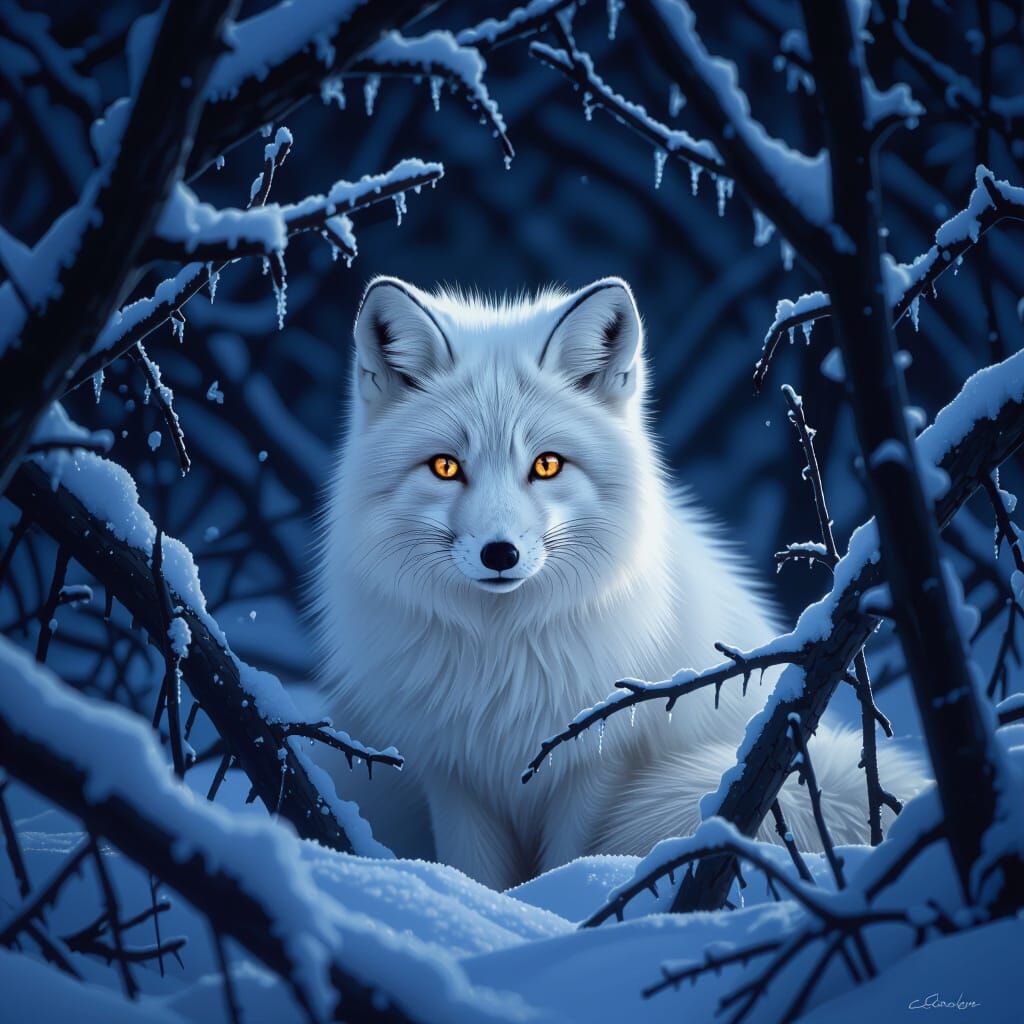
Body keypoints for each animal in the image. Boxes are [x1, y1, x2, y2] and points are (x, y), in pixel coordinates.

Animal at [312, 275, 925, 892]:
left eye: (547, 465)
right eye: (445, 467)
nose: (500, 553)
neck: (501, 657)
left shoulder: (595, 761)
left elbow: (567, 857)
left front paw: (564, 897)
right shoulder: (454, 775)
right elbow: (476, 873)